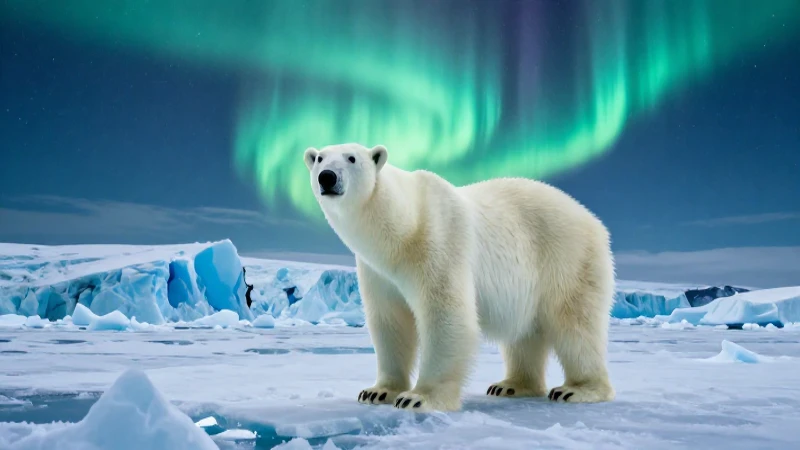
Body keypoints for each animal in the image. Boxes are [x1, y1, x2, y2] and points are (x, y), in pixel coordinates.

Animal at [303, 142, 616, 412]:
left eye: (351, 158)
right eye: (319, 158)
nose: (327, 177)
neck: (404, 229)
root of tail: (595, 222)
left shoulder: (438, 243)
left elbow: (446, 316)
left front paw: (418, 398)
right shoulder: (377, 272)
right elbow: (390, 322)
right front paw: (378, 392)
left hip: (567, 258)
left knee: (575, 324)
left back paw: (577, 389)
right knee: (525, 333)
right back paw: (511, 385)